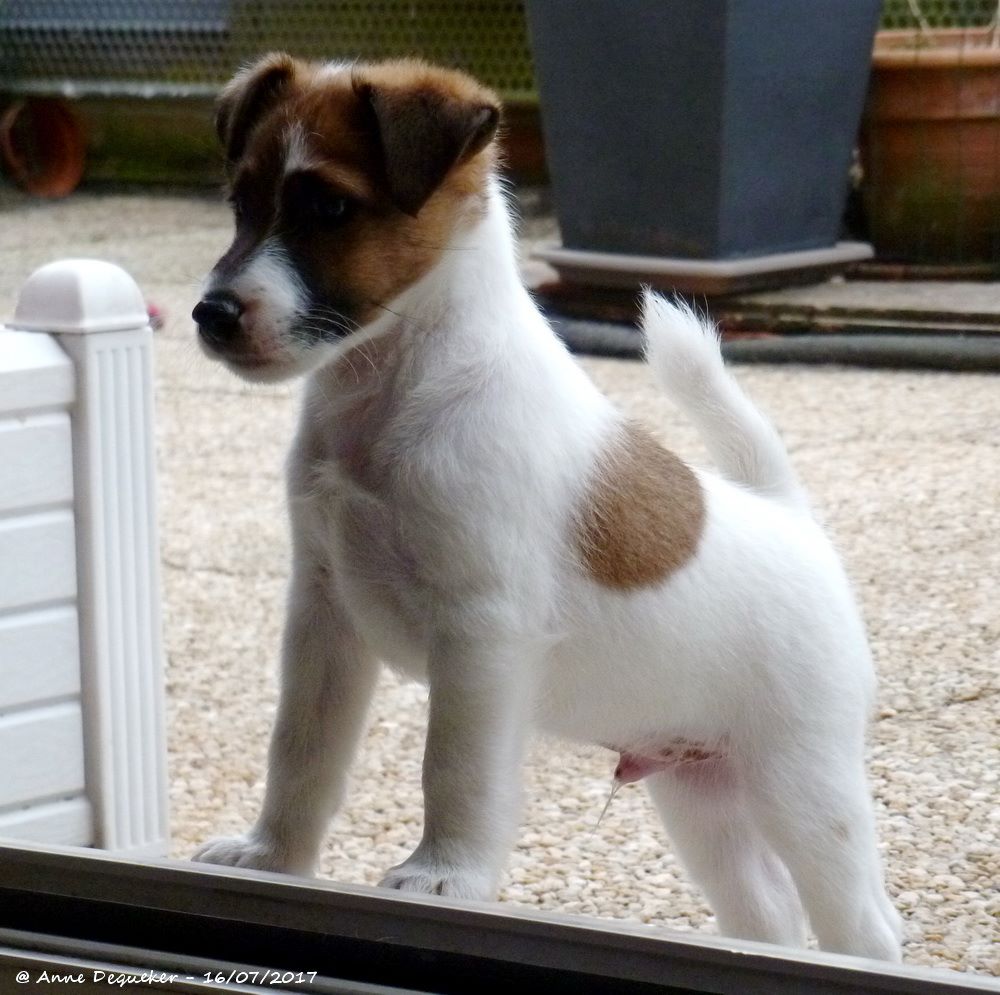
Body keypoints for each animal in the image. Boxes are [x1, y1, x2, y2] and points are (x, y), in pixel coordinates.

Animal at [191, 54, 903, 961]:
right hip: (702, 797)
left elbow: (453, 768)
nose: (212, 314)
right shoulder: (324, 616)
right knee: (767, 912)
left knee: (866, 924)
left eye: (330, 208)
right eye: (241, 203)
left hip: (802, 788)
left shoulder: (480, 633)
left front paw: (443, 875)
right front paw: (272, 856)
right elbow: (301, 751)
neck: (394, 389)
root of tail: (788, 516)